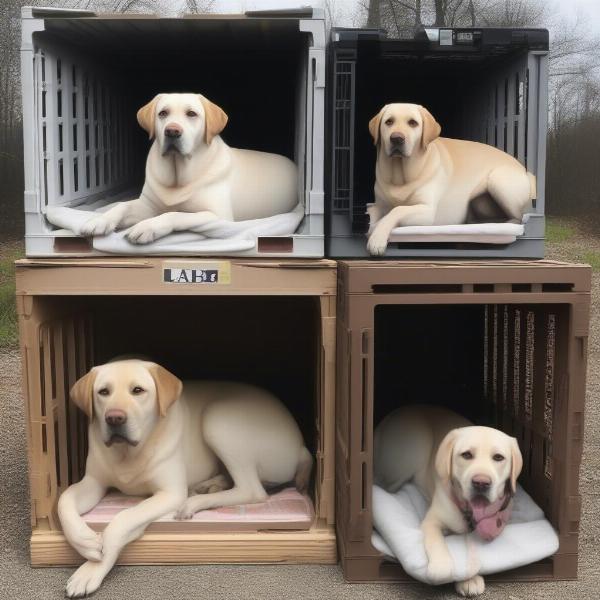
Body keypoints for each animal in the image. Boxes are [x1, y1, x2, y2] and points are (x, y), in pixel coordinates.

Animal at [56, 358, 312, 596]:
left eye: (138, 390)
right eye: (103, 392)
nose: (114, 418)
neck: (127, 453)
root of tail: (302, 446)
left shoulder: (170, 494)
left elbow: (124, 518)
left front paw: (91, 569)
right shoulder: (93, 482)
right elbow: (64, 500)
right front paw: (85, 541)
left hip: (218, 419)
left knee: (252, 490)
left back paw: (194, 502)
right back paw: (210, 485)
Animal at [78, 92, 298, 243]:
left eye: (191, 114)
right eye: (163, 113)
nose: (172, 131)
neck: (178, 175)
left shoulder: (218, 216)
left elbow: (175, 214)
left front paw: (148, 226)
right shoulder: (148, 205)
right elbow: (123, 205)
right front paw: (100, 220)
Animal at [368, 103, 536, 255]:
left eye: (413, 123)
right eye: (389, 122)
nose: (397, 138)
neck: (400, 176)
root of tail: (524, 170)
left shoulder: (427, 212)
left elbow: (396, 210)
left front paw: (376, 238)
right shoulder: (379, 205)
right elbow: (377, 212)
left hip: (498, 180)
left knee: (518, 218)